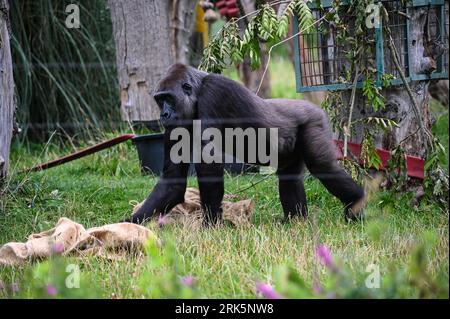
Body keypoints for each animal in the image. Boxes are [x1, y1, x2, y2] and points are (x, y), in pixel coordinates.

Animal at [125, 63, 364, 226]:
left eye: (169, 99)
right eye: (159, 100)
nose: (163, 114)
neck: (198, 89)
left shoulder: (214, 92)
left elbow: (209, 165)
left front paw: (211, 224)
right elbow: (173, 180)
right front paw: (129, 223)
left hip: (314, 121)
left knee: (322, 166)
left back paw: (357, 204)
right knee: (289, 176)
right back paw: (295, 220)